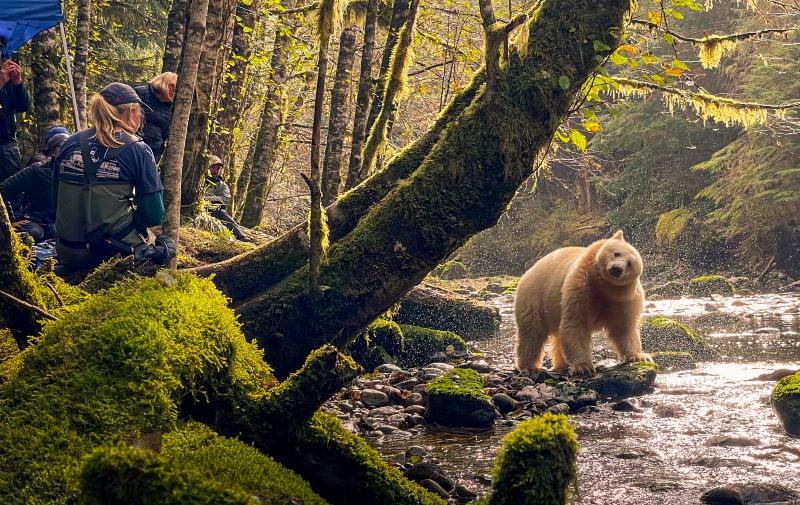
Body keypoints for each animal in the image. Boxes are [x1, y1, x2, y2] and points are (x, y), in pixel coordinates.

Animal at [513, 230, 652, 375]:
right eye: (617, 253)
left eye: (630, 263)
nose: (617, 268)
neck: (604, 286)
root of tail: (530, 269)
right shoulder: (581, 285)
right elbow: (576, 323)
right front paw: (583, 367)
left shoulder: (624, 299)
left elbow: (623, 328)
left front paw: (640, 356)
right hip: (535, 297)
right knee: (532, 332)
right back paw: (528, 366)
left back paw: (560, 364)